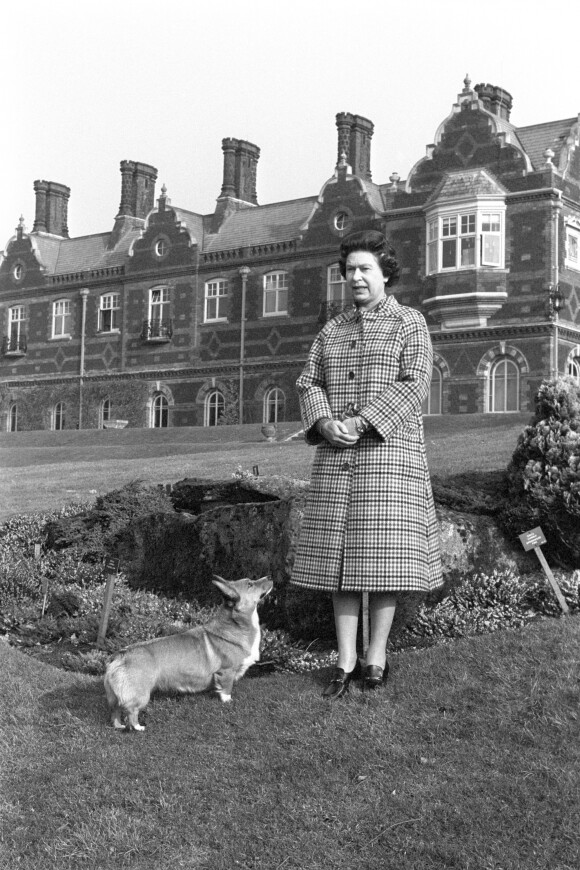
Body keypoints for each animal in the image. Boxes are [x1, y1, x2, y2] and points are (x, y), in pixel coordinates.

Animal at [103, 576, 272, 732]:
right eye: (250, 584)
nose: (269, 577)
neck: (237, 626)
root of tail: (120, 656)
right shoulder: (226, 672)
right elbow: (226, 690)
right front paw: (227, 703)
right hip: (141, 694)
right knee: (131, 711)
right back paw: (138, 727)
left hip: (115, 697)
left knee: (115, 712)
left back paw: (119, 726)